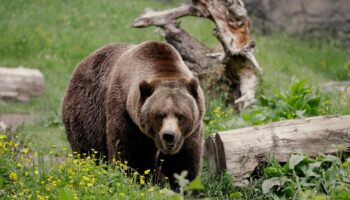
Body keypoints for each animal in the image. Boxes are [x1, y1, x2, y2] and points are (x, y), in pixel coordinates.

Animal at [61, 40, 205, 188]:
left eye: (181, 115)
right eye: (159, 115)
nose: (169, 135)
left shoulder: (190, 131)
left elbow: (182, 161)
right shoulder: (125, 114)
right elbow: (132, 154)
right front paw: (142, 181)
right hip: (85, 114)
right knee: (87, 150)